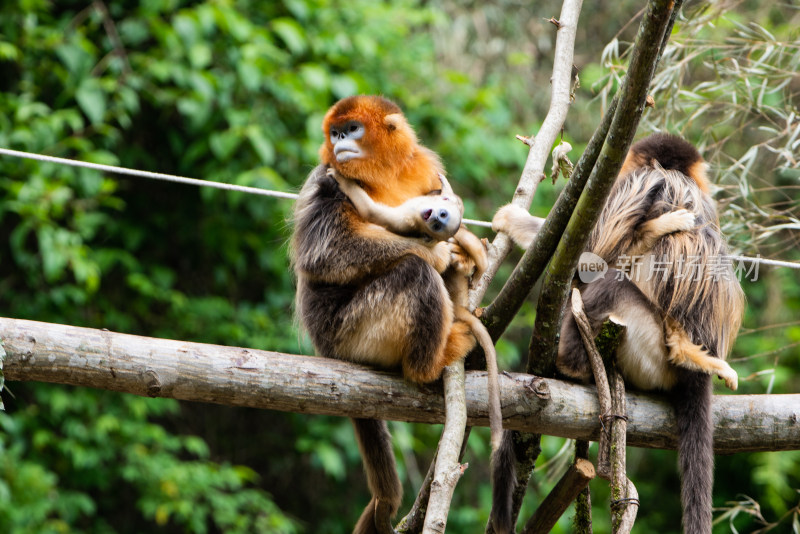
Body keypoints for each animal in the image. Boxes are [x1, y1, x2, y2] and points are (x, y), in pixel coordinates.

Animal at [290, 96, 484, 534]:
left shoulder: (427, 169)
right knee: (414, 272)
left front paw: (466, 250)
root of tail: (327, 349)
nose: (339, 143)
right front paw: (438, 251)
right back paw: (429, 363)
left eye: (352, 130)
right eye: (335, 133)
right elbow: (325, 254)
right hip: (352, 331)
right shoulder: (326, 180)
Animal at [328, 170, 504, 454]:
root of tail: (458, 303)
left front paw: (343, 182)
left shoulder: (407, 217)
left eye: (440, 222)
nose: (435, 218)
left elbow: (374, 212)